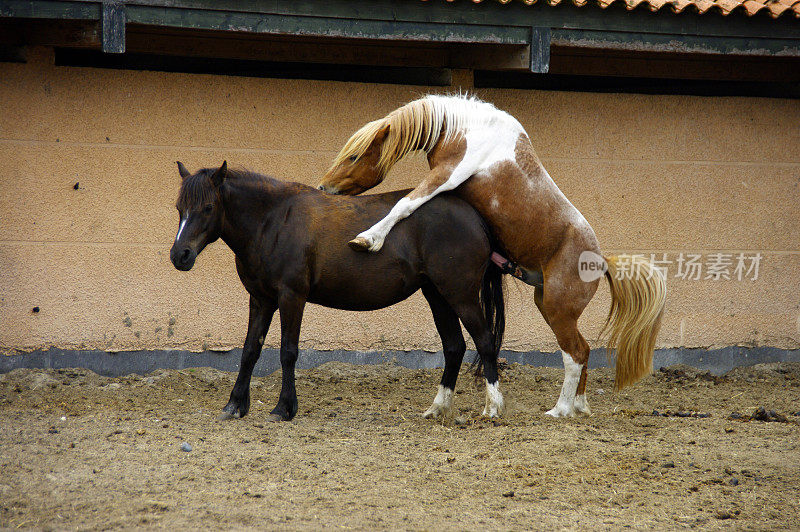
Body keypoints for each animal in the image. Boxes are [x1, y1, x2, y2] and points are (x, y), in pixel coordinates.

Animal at [170, 161, 506, 420]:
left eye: (208, 207)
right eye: (179, 207)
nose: (180, 255)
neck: (274, 221)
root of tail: (475, 217)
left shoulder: (292, 297)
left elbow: (288, 352)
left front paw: (284, 408)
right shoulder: (261, 300)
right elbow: (250, 350)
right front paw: (235, 405)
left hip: (461, 295)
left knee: (485, 342)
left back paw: (492, 408)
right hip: (437, 295)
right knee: (454, 347)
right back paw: (438, 409)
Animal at [316, 93, 664, 418]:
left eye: (354, 155)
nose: (323, 188)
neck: (467, 129)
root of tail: (602, 262)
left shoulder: (447, 175)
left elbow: (405, 204)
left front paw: (366, 239)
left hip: (558, 310)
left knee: (575, 354)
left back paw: (560, 410)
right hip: (547, 305)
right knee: (585, 351)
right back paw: (579, 407)